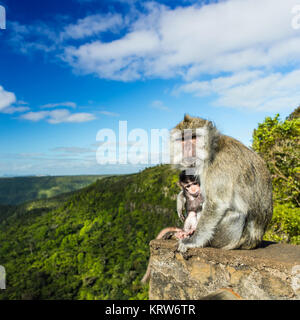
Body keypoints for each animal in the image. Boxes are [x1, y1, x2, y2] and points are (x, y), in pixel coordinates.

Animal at [170, 114, 274, 252]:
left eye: (193, 137)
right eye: (182, 139)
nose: (186, 149)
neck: (212, 149)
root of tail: (254, 242)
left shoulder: (219, 167)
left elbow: (216, 203)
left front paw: (193, 241)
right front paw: (180, 198)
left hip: (233, 241)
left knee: (236, 215)